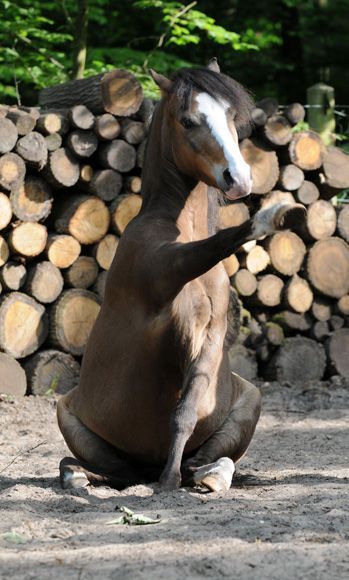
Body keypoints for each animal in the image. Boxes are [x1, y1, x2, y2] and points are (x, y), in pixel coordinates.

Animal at [57, 59, 304, 492]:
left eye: (231, 116)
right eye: (189, 121)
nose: (239, 179)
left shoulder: (210, 337)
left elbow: (186, 411)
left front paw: (172, 478)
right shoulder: (160, 277)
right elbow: (204, 249)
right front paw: (276, 215)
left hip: (250, 402)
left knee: (207, 461)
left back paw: (209, 474)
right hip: (68, 416)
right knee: (100, 469)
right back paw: (81, 477)